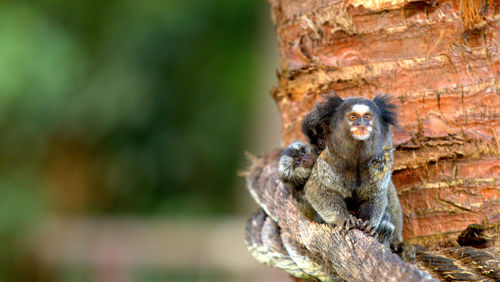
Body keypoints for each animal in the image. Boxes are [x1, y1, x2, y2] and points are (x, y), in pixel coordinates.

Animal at [300, 92, 402, 247]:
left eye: (367, 116)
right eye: (352, 117)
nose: (361, 124)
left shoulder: (376, 167)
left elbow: (376, 195)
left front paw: (369, 224)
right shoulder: (329, 161)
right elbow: (316, 189)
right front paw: (343, 218)